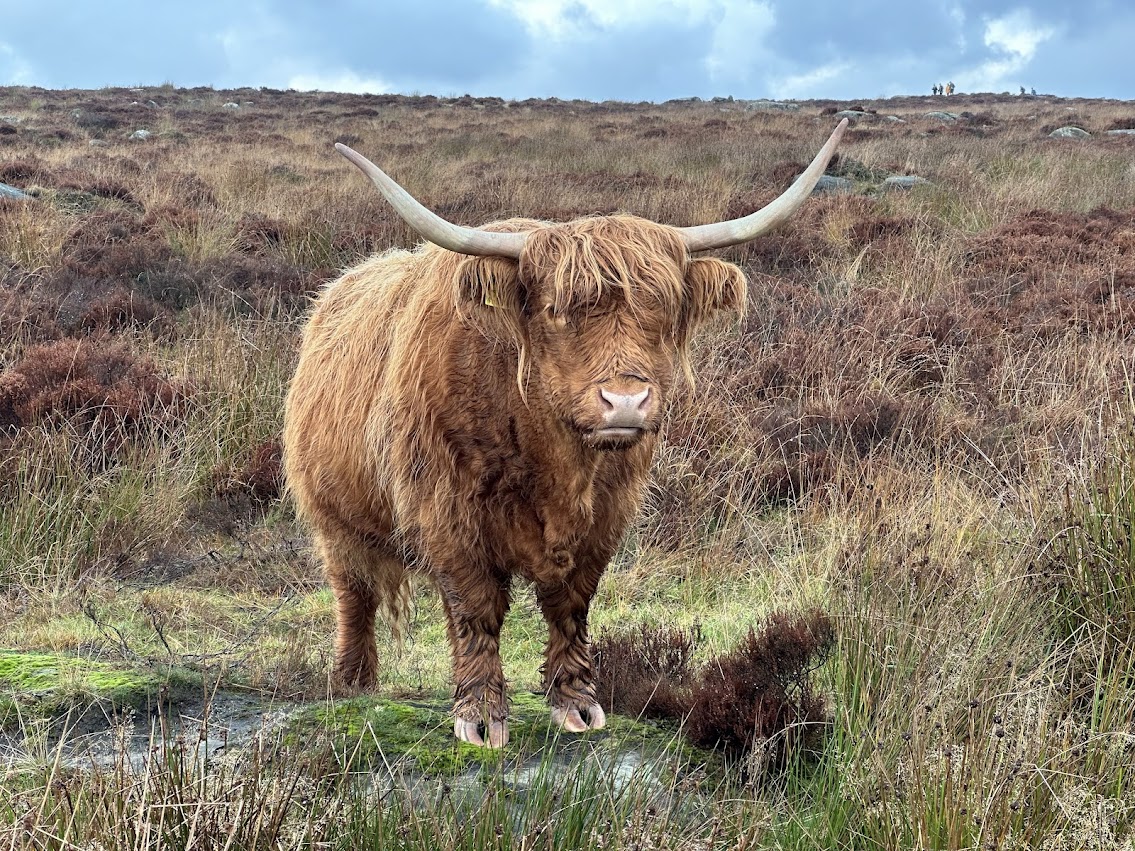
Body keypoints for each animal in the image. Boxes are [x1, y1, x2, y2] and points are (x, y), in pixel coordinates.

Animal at [282, 119, 847, 747]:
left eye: (666, 310)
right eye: (555, 310)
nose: (625, 401)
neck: (554, 458)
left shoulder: (607, 513)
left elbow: (571, 603)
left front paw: (576, 703)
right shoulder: (447, 511)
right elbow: (476, 607)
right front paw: (481, 716)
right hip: (333, 517)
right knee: (353, 592)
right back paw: (351, 681)